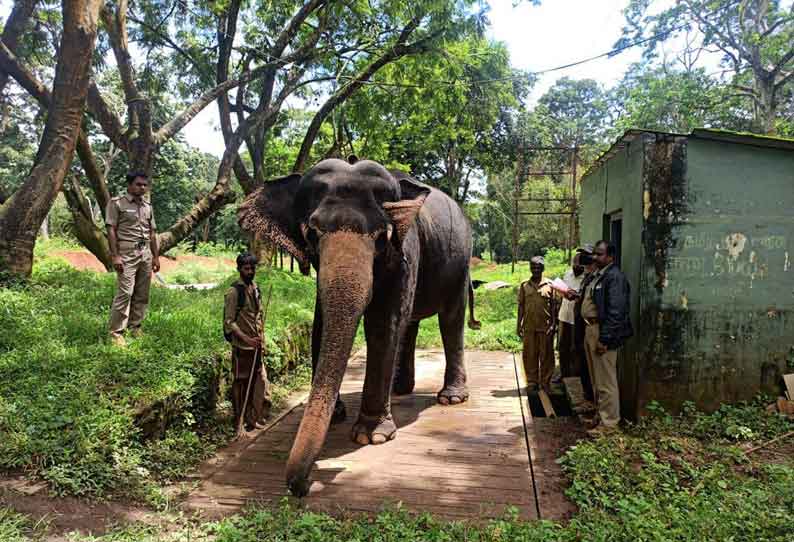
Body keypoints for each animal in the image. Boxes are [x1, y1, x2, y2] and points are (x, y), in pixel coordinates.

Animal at [238, 157, 480, 498]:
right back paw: (400, 389)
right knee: (412, 322)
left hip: (459, 262)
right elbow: (321, 323)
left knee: (450, 319)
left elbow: (383, 321)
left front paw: (372, 436)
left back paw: (451, 398)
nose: (304, 486)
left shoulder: (406, 248)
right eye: (311, 234)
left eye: (381, 237)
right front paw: (338, 415)